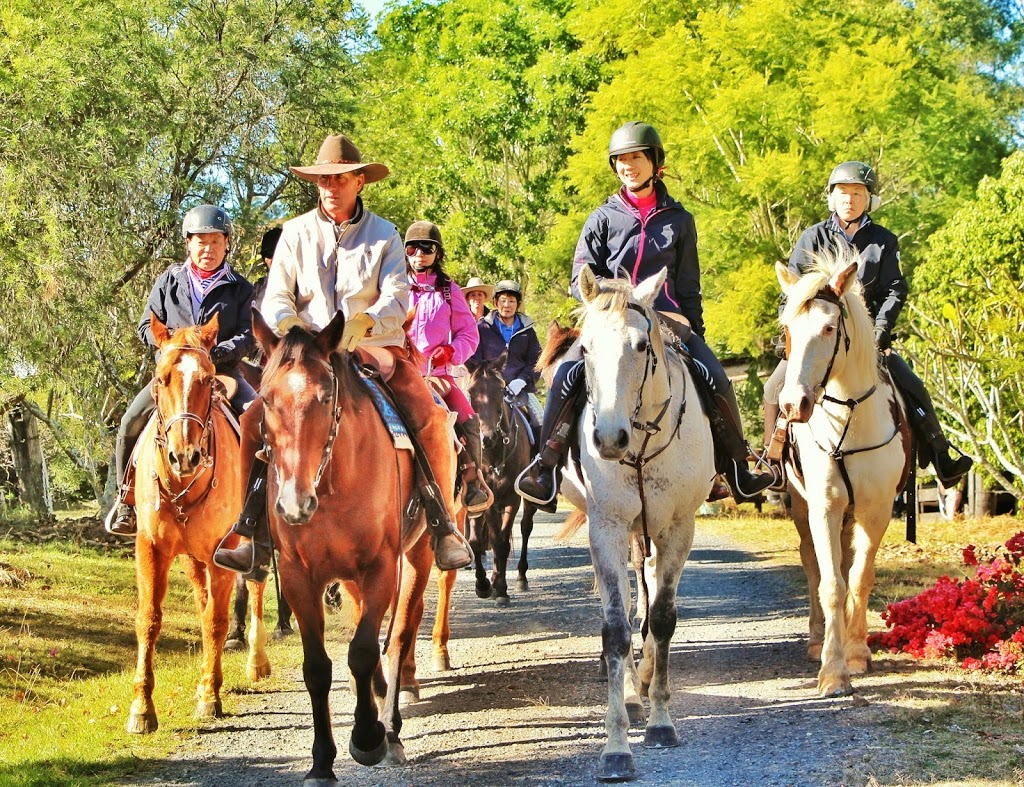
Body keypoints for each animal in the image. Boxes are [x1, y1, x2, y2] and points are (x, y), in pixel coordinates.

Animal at [126, 311, 268, 728]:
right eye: (161, 378)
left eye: (207, 379)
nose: (184, 456)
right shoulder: (151, 548)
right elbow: (150, 618)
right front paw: (142, 708)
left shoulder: (226, 549)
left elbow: (216, 620)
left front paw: (209, 695)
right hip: (193, 558)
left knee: (254, 587)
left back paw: (257, 662)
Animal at [250, 304, 444, 773]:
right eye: (266, 399)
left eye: (325, 398)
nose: (294, 504)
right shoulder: (299, 577)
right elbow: (318, 667)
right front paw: (322, 761)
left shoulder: (380, 568)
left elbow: (363, 651)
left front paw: (369, 736)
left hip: (418, 555)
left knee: (399, 635)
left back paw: (390, 725)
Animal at [778, 249, 909, 695]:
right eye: (787, 330)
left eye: (829, 327)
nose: (793, 405)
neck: (849, 419)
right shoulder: (824, 508)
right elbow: (831, 583)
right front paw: (833, 670)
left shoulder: (876, 510)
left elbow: (860, 577)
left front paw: (856, 653)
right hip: (802, 511)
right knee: (812, 566)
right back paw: (817, 640)